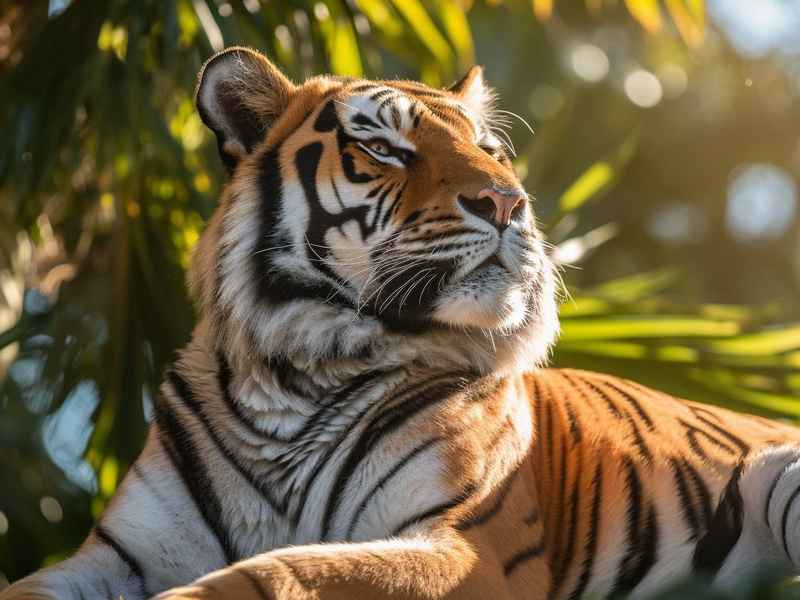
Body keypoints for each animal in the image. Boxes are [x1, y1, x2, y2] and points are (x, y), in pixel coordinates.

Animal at [4, 46, 800, 600]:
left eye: (492, 150)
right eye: (384, 148)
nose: (509, 202)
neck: (297, 376)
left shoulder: (464, 546)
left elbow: (279, 572)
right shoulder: (120, 552)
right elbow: (27, 584)